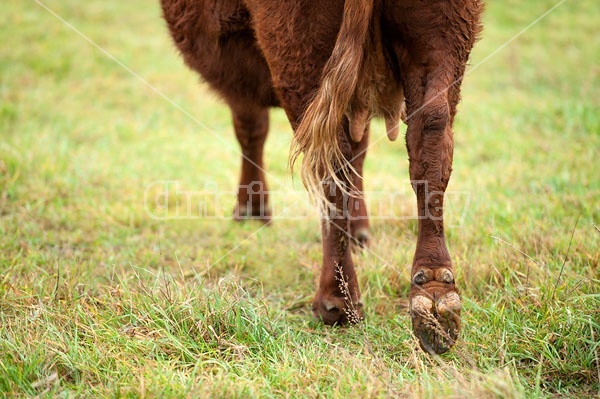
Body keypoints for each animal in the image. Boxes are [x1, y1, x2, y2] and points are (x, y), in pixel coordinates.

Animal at [159, 0, 482, 356]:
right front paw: (359, 231)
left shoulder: (240, 83)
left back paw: (336, 301)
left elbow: (251, 129)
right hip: (442, 38)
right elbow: (359, 149)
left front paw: (251, 211)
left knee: (331, 159)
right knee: (430, 135)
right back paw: (435, 296)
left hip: (300, 49)